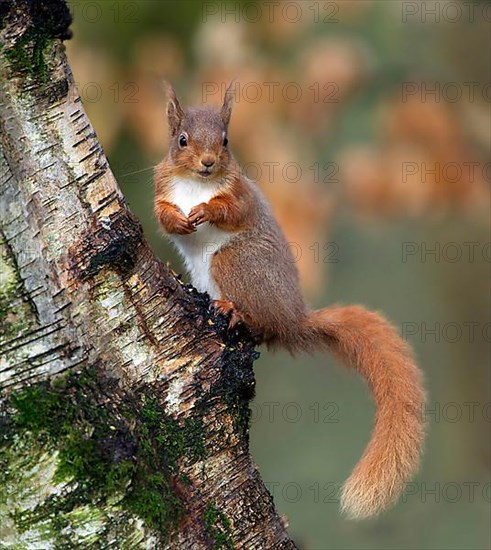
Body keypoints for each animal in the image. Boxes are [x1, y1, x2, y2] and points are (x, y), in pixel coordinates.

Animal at [154, 83, 426, 520]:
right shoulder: (163, 187)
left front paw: (207, 209)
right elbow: (162, 214)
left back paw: (233, 309)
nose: (208, 163)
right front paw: (179, 219)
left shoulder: (241, 195)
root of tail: (293, 317)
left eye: (226, 141)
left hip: (236, 262)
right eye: (182, 140)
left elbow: (232, 209)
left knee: (259, 320)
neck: (196, 184)